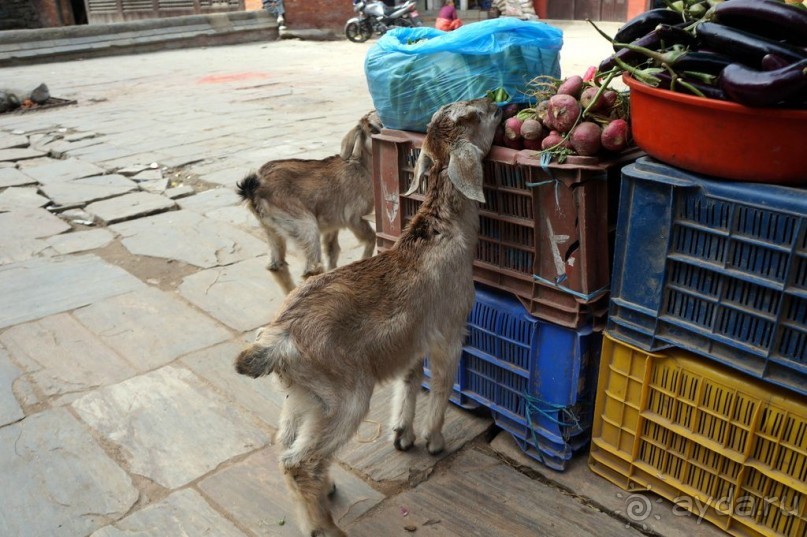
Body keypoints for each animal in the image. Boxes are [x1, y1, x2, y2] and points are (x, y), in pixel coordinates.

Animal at [235, 109, 384, 294]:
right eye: (371, 127)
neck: (361, 168)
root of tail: (255, 188)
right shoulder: (354, 217)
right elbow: (370, 238)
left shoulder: (333, 226)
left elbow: (333, 250)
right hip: (304, 225)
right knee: (310, 268)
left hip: (271, 230)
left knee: (277, 264)